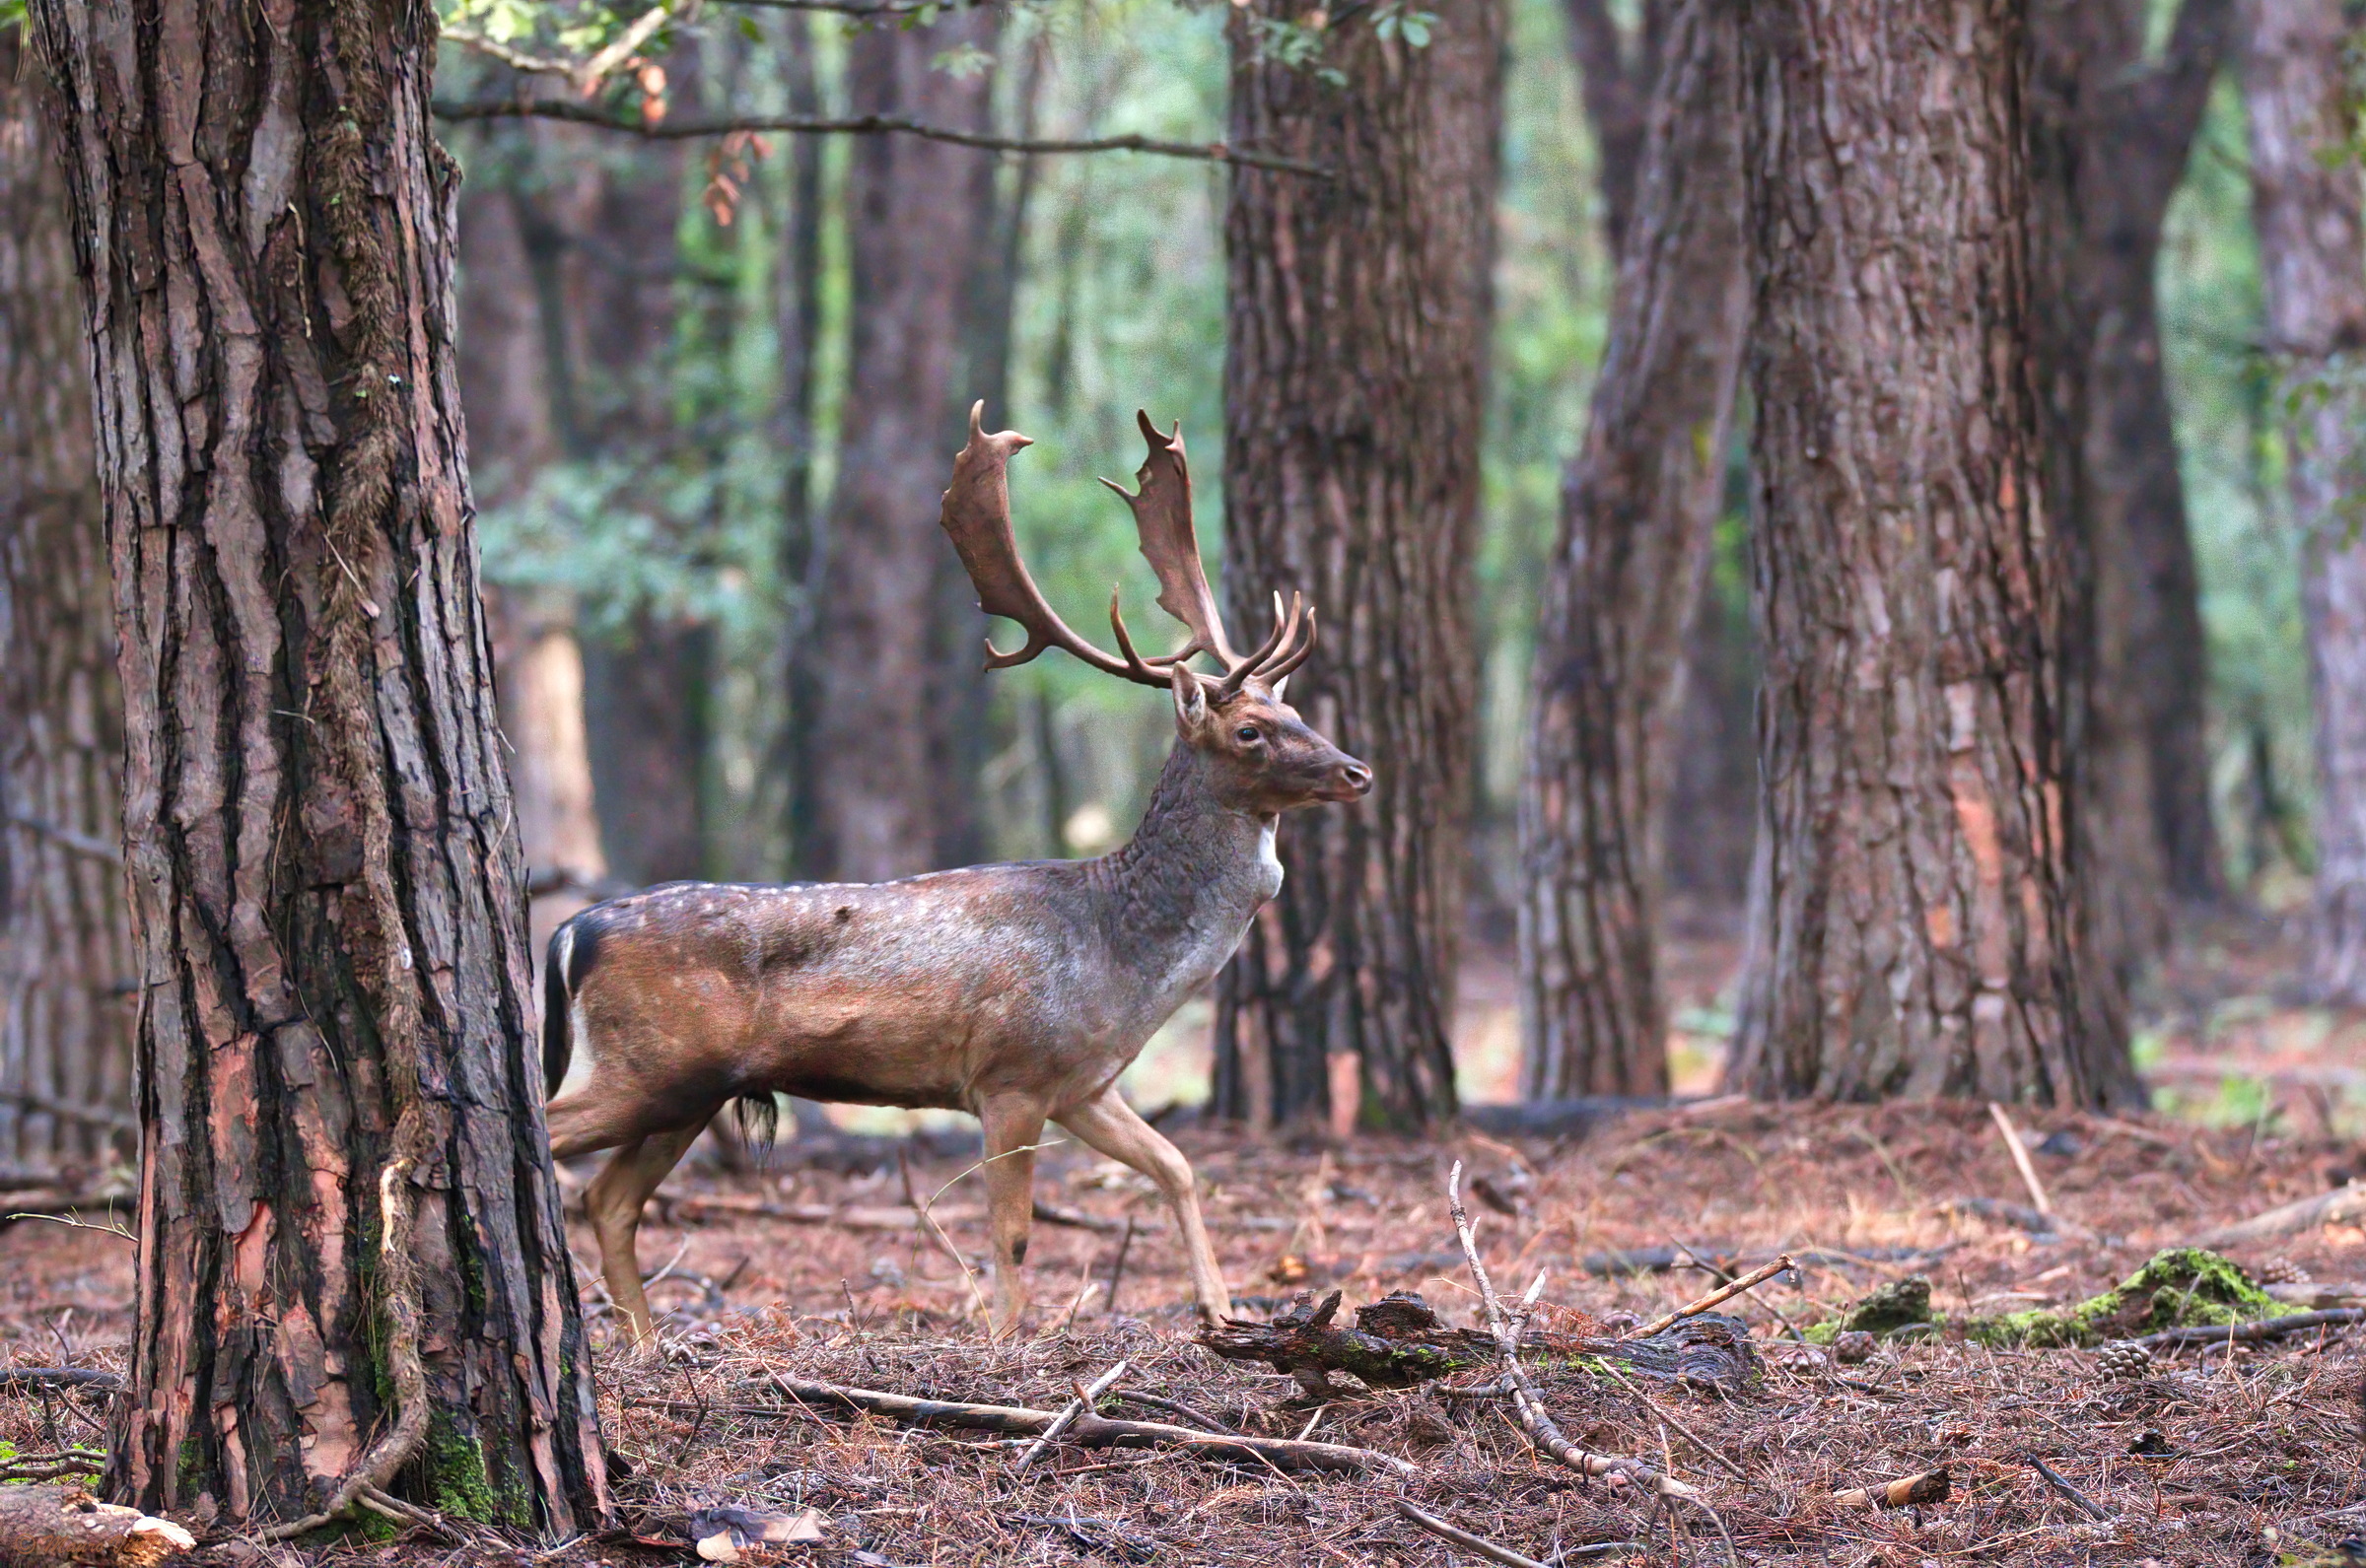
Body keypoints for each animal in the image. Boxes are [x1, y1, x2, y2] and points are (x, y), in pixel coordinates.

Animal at [541, 403, 1372, 1343]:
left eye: (1293, 709)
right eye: (1250, 732)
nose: (1357, 771)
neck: (1121, 962)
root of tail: (571, 929)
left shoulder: (1083, 1082)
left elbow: (1178, 1165)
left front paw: (1221, 1309)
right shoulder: (1010, 1072)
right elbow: (1011, 1230)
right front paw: (1008, 1344)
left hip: (688, 1090)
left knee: (611, 1200)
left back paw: (646, 1346)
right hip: (647, 1067)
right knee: (551, 1139)